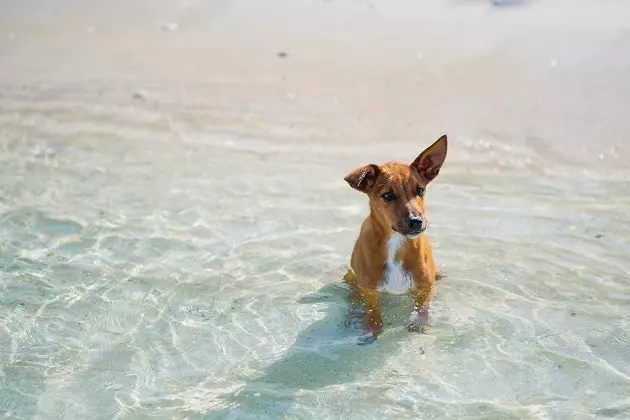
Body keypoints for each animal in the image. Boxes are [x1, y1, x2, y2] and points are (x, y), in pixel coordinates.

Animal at [340, 135, 450, 344]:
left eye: (420, 190)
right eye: (388, 195)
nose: (416, 221)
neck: (396, 243)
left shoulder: (424, 287)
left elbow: (422, 310)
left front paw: (420, 325)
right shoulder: (369, 289)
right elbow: (372, 312)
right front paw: (371, 329)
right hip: (351, 277)